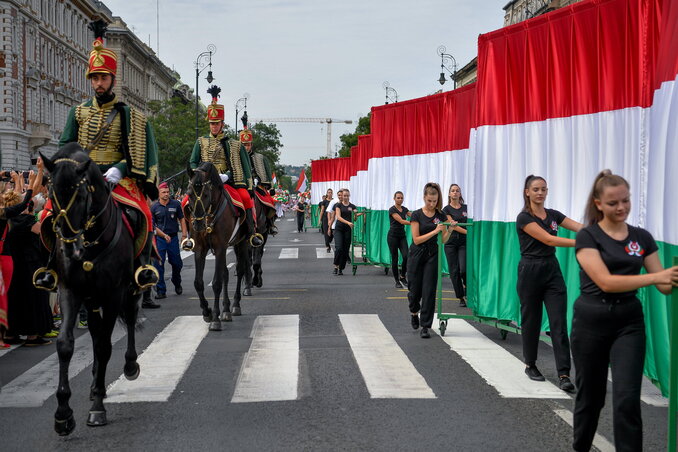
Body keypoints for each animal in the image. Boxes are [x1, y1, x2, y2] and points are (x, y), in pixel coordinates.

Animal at [39, 144, 143, 434]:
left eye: (83, 194)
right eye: (51, 193)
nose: (70, 250)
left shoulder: (114, 292)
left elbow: (106, 346)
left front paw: (97, 408)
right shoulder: (70, 291)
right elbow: (66, 344)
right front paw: (63, 413)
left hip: (129, 289)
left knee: (129, 319)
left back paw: (129, 365)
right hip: (92, 298)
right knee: (96, 334)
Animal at [185, 162, 251, 328]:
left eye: (206, 195)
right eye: (189, 194)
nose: (198, 224)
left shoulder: (220, 247)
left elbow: (216, 283)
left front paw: (215, 318)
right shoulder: (200, 249)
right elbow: (198, 283)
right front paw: (206, 312)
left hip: (241, 243)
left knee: (240, 270)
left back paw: (235, 305)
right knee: (225, 274)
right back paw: (226, 309)